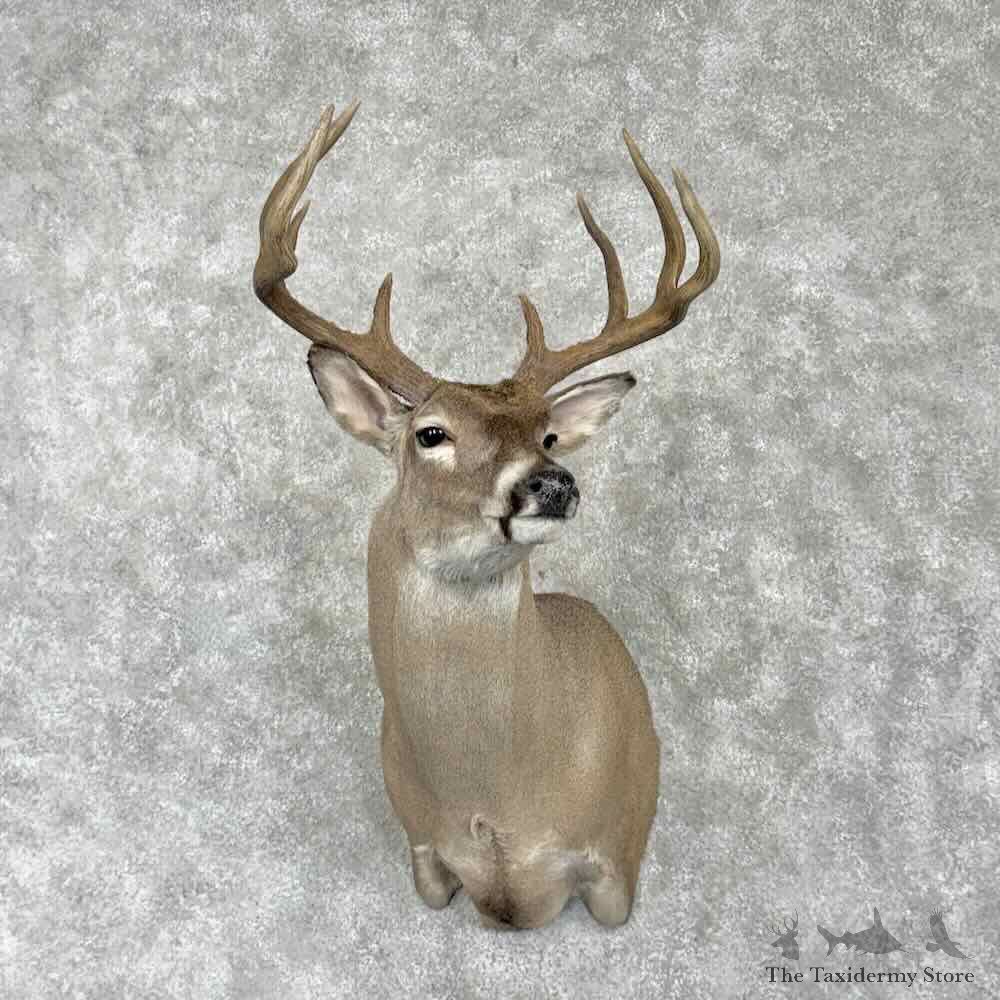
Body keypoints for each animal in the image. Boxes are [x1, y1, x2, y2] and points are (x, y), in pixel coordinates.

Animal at [252, 101, 720, 929]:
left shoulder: (616, 860)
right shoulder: (422, 854)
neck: (496, 803)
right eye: (430, 433)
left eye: (549, 434)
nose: (551, 483)